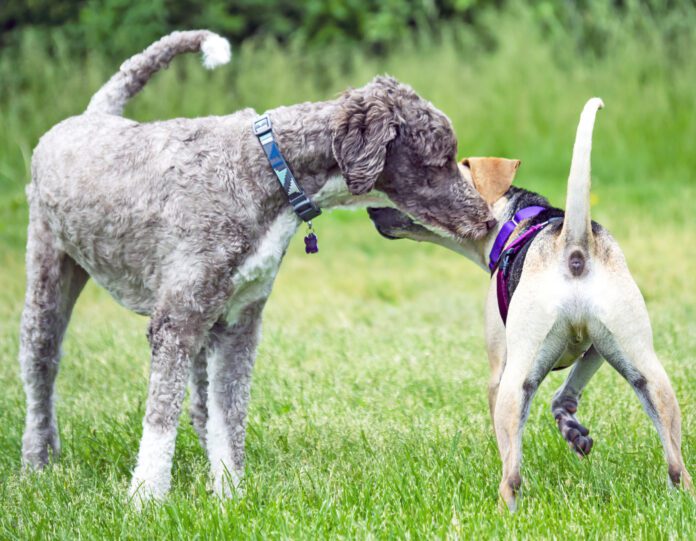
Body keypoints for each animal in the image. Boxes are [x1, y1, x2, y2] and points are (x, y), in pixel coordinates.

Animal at [20, 28, 494, 502]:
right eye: (439, 161)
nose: (487, 219)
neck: (267, 170)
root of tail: (91, 113)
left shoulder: (238, 322)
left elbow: (228, 417)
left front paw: (229, 494)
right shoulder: (175, 322)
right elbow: (160, 422)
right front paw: (146, 499)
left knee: (200, 405)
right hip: (48, 276)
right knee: (41, 373)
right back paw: (38, 463)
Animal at [368, 98, 692, 510]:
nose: (371, 209)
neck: (515, 222)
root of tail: (573, 244)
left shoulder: (498, 371)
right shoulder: (597, 348)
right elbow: (565, 393)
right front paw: (572, 430)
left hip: (516, 378)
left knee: (512, 474)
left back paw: (505, 509)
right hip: (646, 368)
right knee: (677, 464)